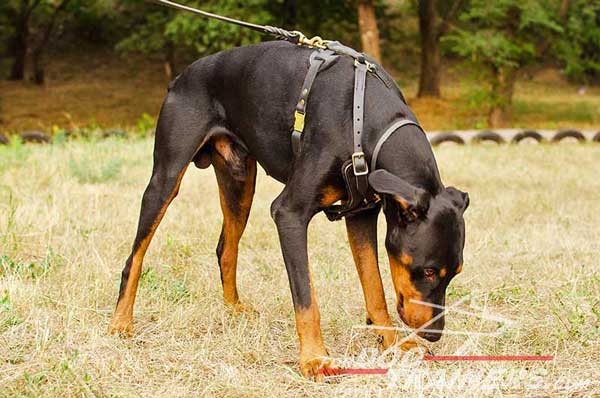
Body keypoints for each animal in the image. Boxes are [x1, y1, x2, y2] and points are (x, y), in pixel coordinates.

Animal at [110, 40, 472, 380]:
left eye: (455, 273)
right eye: (428, 271)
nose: (434, 334)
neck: (364, 120)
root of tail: (181, 76)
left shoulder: (361, 215)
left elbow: (375, 288)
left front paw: (396, 344)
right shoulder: (289, 213)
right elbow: (306, 297)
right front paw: (315, 359)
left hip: (240, 182)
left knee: (226, 248)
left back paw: (233, 309)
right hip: (166, 178)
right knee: (135, 256)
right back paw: (121, 322)